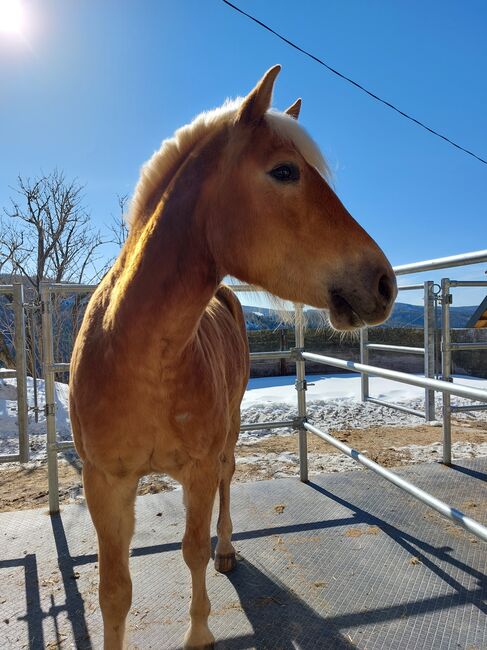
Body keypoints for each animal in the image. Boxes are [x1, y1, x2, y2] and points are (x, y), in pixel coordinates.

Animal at [68, 63, 396, 644]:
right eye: (285, 171)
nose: (384, 282)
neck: (140, 360)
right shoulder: (105, 482)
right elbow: (114, 591)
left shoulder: (197, 468)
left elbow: (192, 551)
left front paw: (199, 634)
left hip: (232, 428)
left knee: (227, 479)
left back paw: (227, 550)